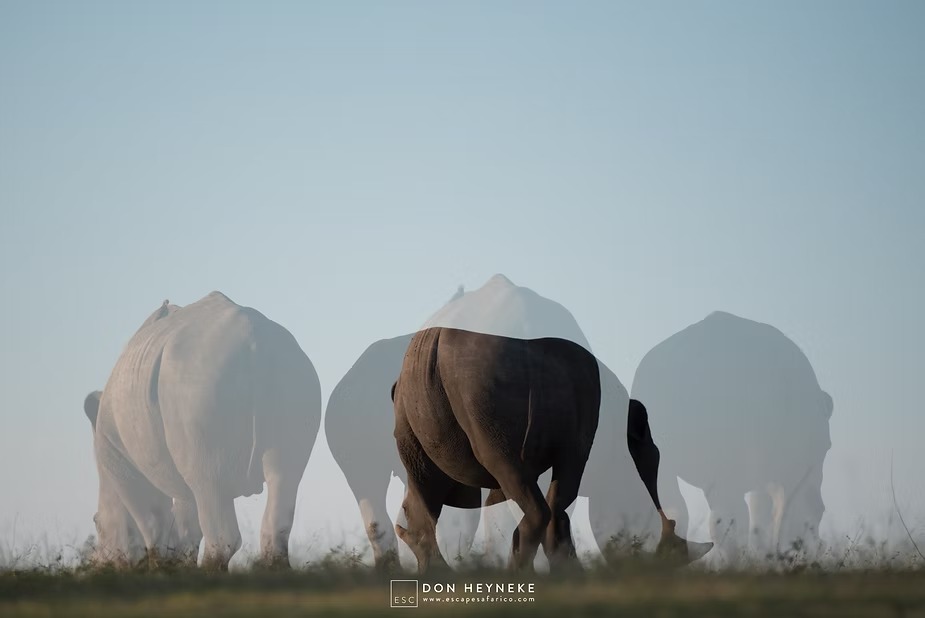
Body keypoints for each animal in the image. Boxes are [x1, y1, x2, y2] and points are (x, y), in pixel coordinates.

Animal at [84, 291, 321, 569]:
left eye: (97, 523)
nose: (94, 565)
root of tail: (254, 339)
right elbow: (186, 526)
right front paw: (178, 566)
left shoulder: (116, 456)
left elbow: (151, 521)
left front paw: (160, 568)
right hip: (294, 373)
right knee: (284, 473)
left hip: (198, 385)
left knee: (208, 480)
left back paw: (209, 572)